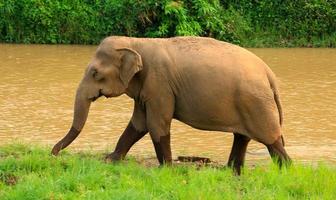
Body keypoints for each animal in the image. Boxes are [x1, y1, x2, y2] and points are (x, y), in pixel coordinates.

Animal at [51, 36, 290, 175]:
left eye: (95, 73)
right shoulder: (147, 89)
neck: (136, 42)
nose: (53, 154)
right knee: (242, 137)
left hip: (255, 102)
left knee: (271, 140)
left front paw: (166, 168)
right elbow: (138, 124)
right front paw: (110, 159)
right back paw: (231, 171)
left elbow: (157, 124)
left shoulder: (160, 84)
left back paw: (287, 171)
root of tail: (269, 75)